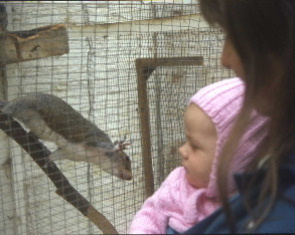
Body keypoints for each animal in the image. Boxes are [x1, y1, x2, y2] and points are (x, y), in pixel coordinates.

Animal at [0, 92, 132, 181]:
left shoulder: (68, 153)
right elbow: (105, 146)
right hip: (27, 104)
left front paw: (48, 160)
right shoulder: (92, 141)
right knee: (11, 108)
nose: (131, 177)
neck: (93, 158)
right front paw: (118, 147)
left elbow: (55, 155)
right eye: (127, 159)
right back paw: (5, 111)